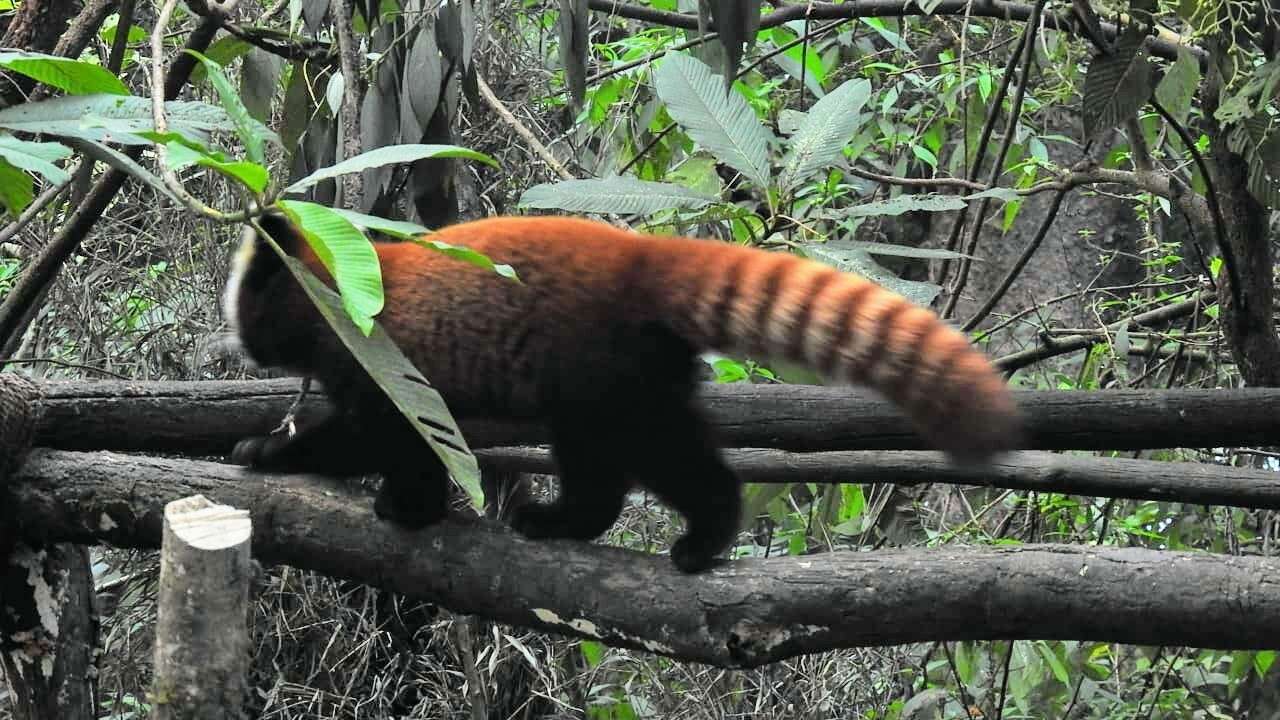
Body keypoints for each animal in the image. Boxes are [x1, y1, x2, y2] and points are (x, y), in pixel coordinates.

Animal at [222, 210, 1018, 568]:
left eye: (241, 304)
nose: (236, 343)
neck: (335, 282)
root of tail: (639, 257)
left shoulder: (378, 355)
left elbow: (386, 434)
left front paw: (274, 452)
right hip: (642, 369)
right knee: (663, 447)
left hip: (596, 369)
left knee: (631, 454)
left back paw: (646, 529)